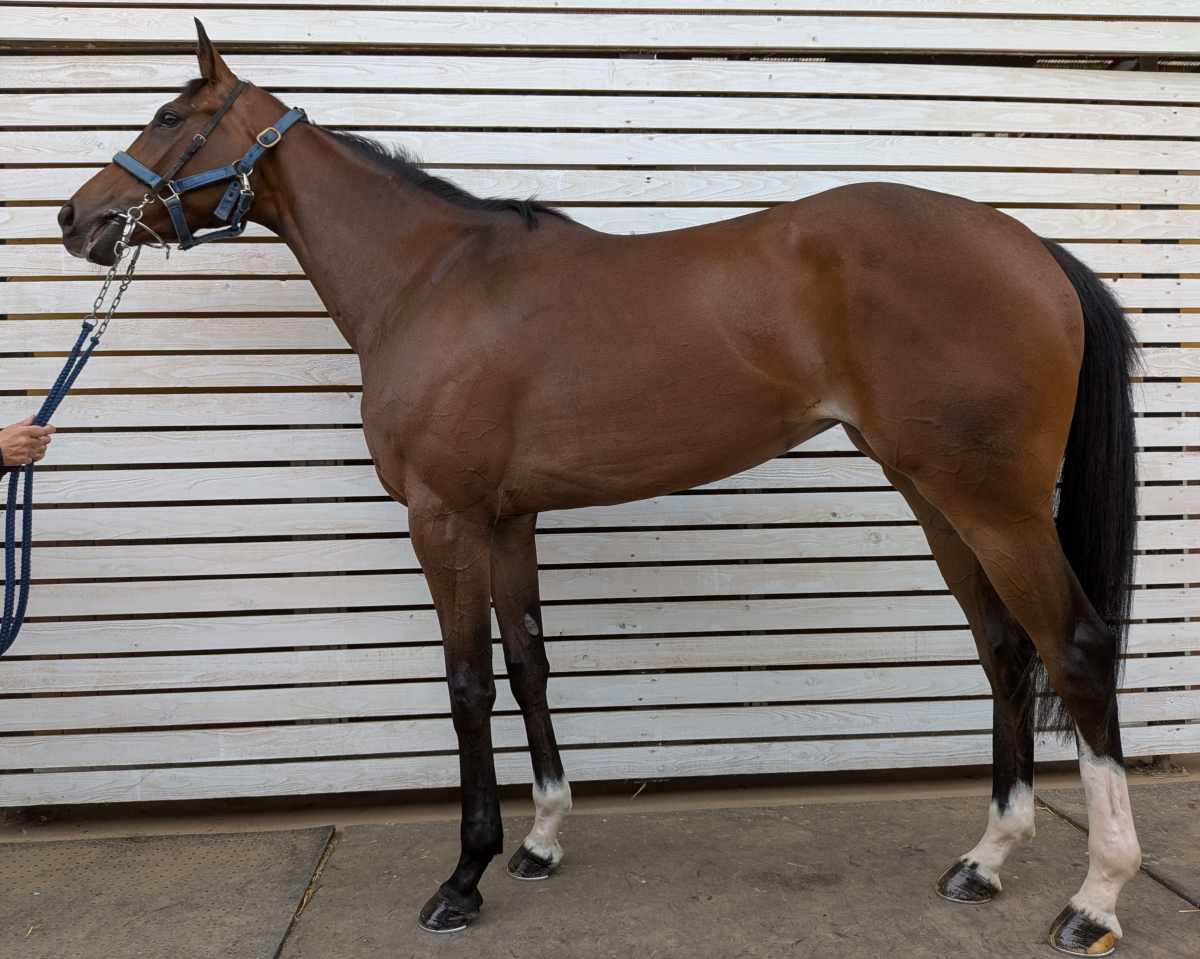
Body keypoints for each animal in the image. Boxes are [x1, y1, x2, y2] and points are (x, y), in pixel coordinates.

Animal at [59, 22, 1141, 954]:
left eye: (166, 114)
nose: (77, 218)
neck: (429, 280)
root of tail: (1031, 247)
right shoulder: (506, 520)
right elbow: (530, 663)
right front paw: (540, 840)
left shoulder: (442, 518)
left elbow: (467, 683)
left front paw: (465, 876)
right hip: (938, 495)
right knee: (1007, 650)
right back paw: (985, 859)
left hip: (993, 505)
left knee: (1078, 650)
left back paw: (1094, 898)